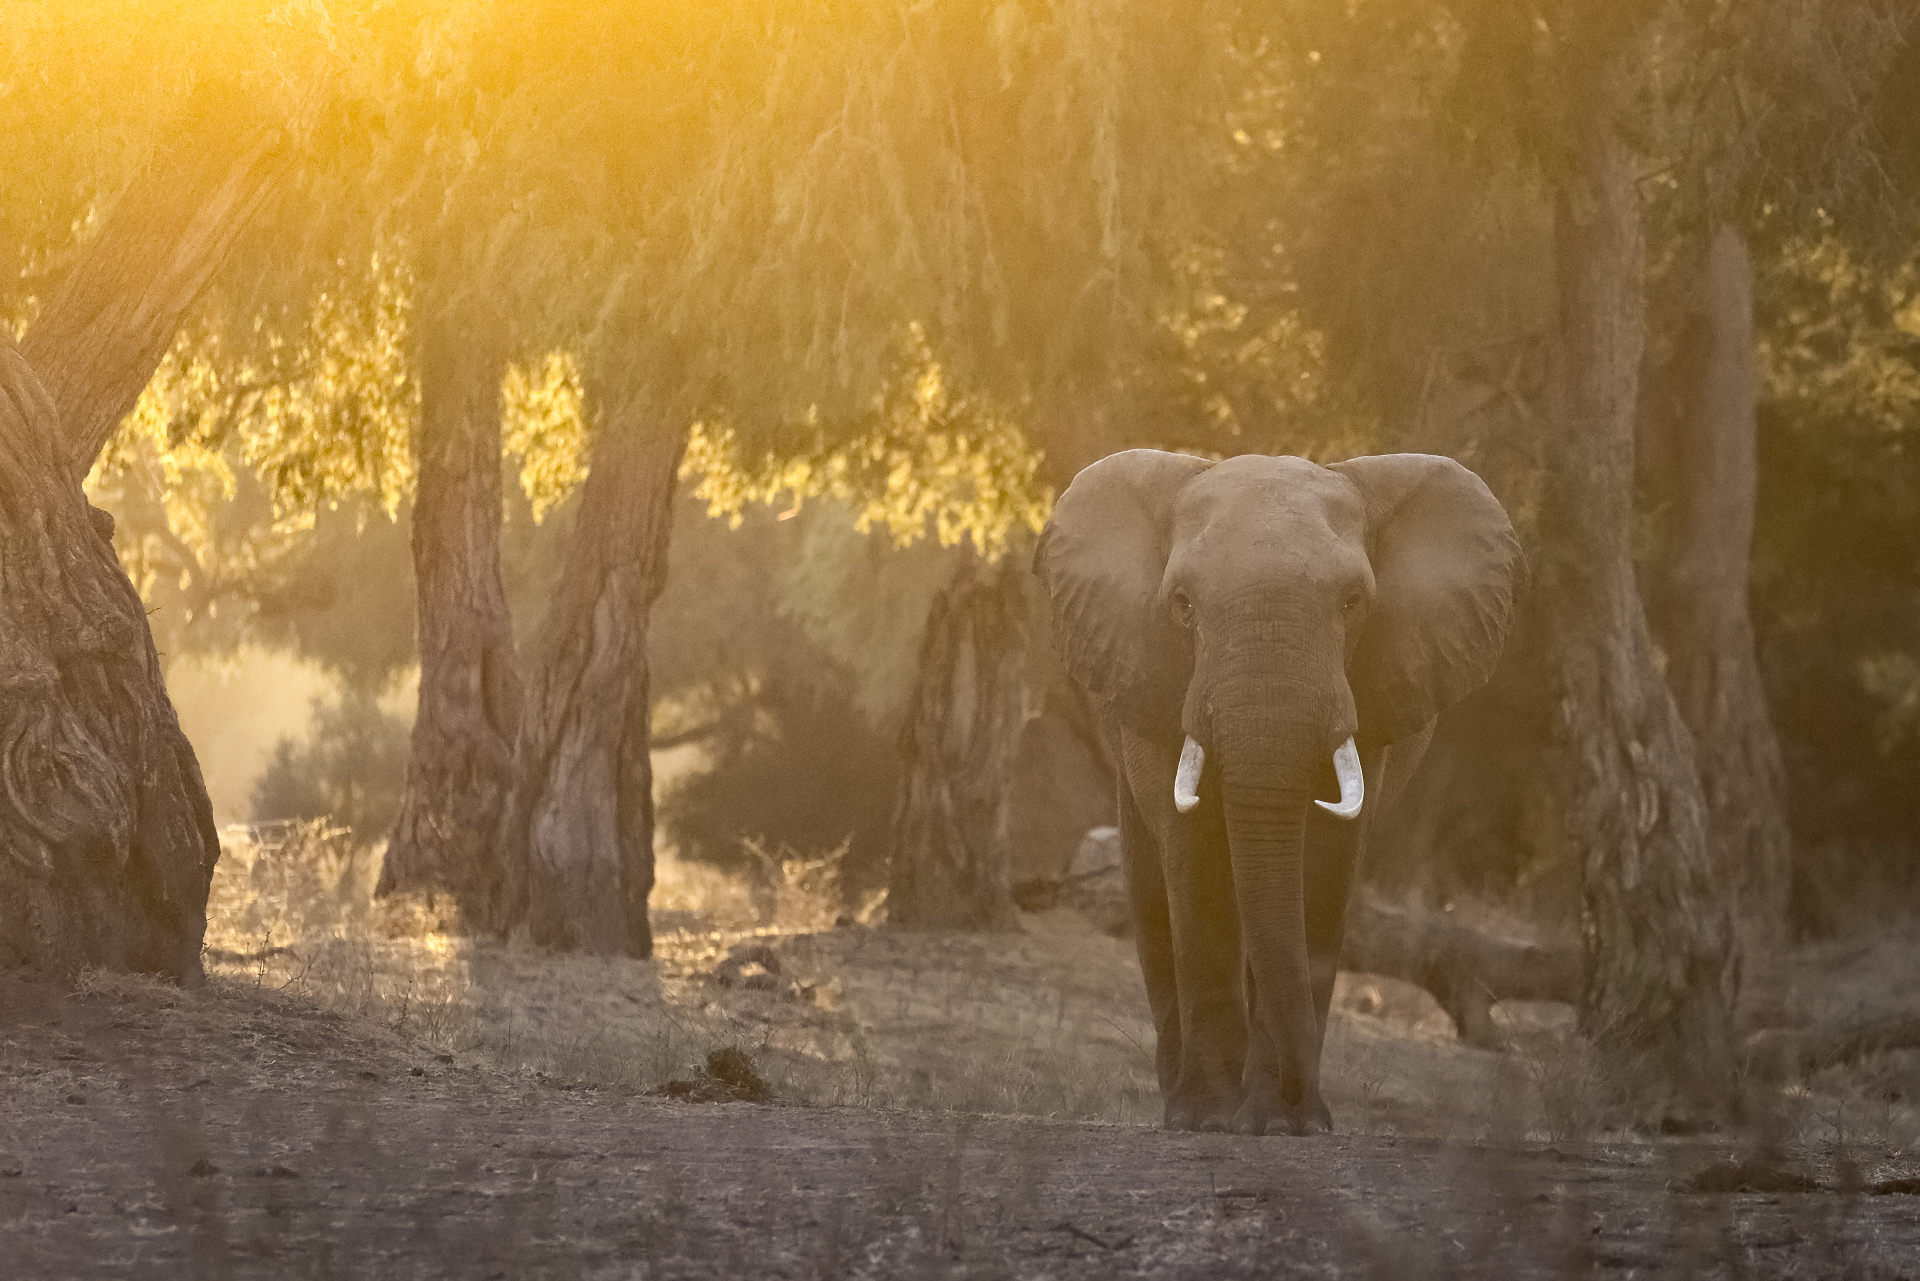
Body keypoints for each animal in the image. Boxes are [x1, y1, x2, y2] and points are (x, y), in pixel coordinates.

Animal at [1033, 450, 1521, 1135]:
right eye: (1182, 605)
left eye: (1353, 602)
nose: (1300, 1094)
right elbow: (1197, 863)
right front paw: (1209, 1120)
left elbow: (1323, 871)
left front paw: (1286, 1125)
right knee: (1151, 886)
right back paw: (1178, 1101)